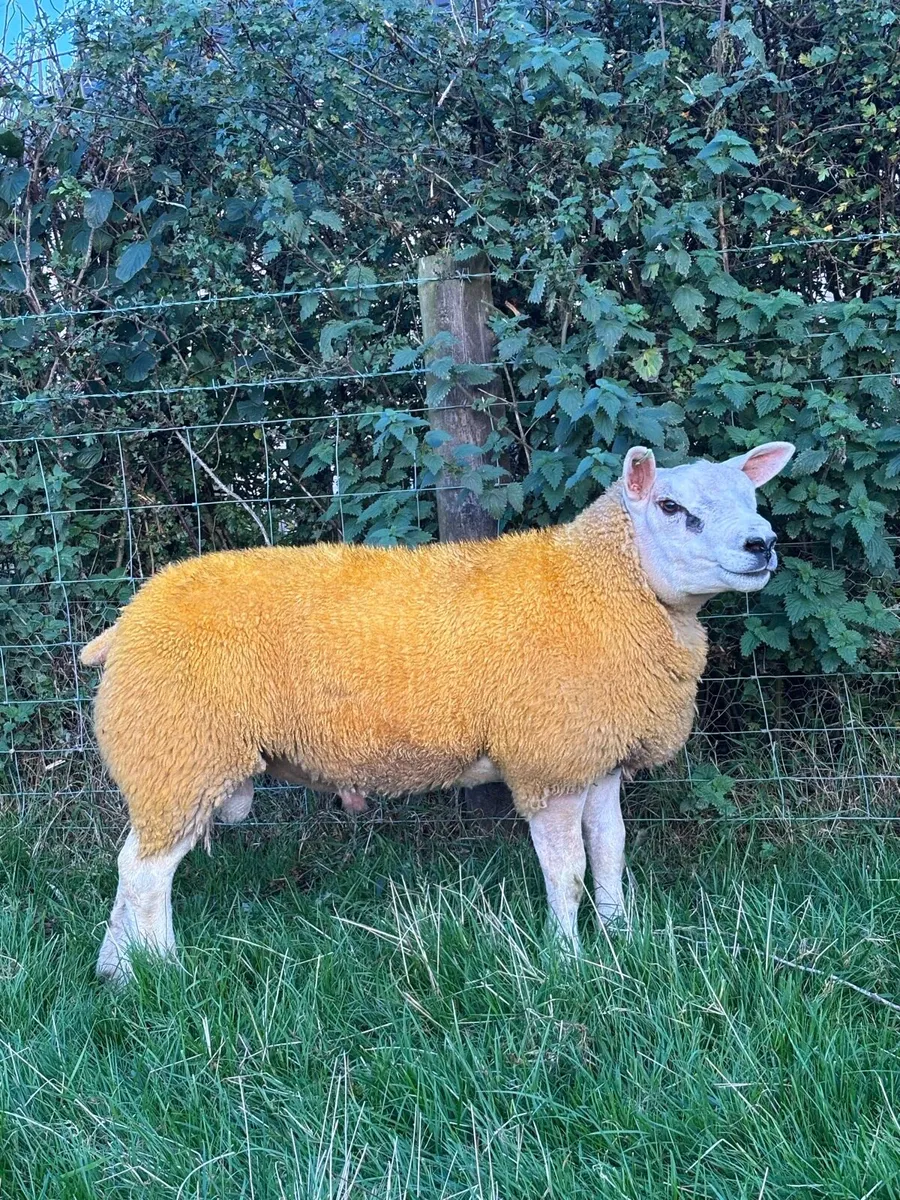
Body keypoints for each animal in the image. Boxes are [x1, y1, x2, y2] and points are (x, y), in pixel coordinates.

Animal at [81, 440, 795, 982]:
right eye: (672, 507)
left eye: (751, 498)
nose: (762, 544)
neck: (603, 585)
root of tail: (127, 622)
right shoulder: (549, 760)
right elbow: (567, 871)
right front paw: (568, 960)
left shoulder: (597, 756)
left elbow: (610, 851)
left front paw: (620, 937)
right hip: (181, 749)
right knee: (146, 874)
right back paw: (165, 972)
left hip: (167, 759)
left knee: (128, 864)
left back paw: (116, 972)